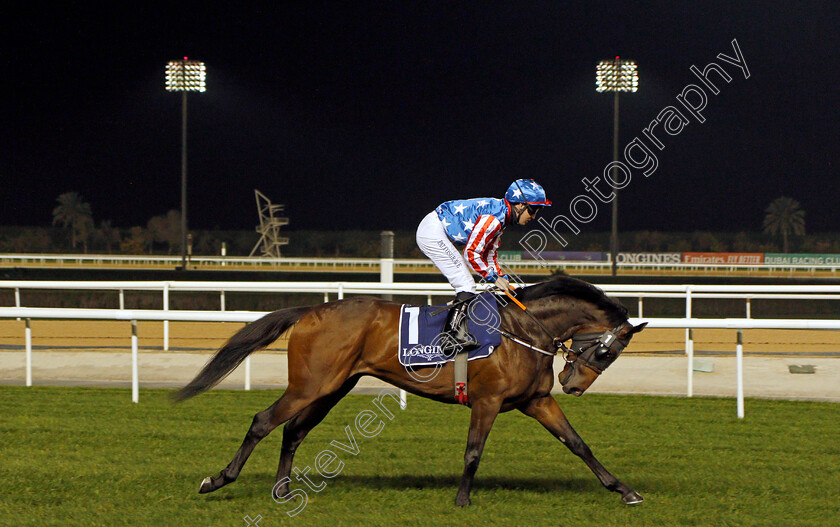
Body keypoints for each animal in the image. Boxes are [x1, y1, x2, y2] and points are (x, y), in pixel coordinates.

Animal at [176, 276, 648, 508]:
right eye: (607, 352)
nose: (574, 385)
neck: (524, 330)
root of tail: (313, 309)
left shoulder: (536, 401)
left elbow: (579, 445)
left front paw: (624, 490)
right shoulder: (488, 401)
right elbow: (473, 452)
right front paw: (462, 500)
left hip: (332, 387)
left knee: (293, 431)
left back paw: (282, 491)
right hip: (310, 384)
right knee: (263, 422)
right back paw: (217, 480)